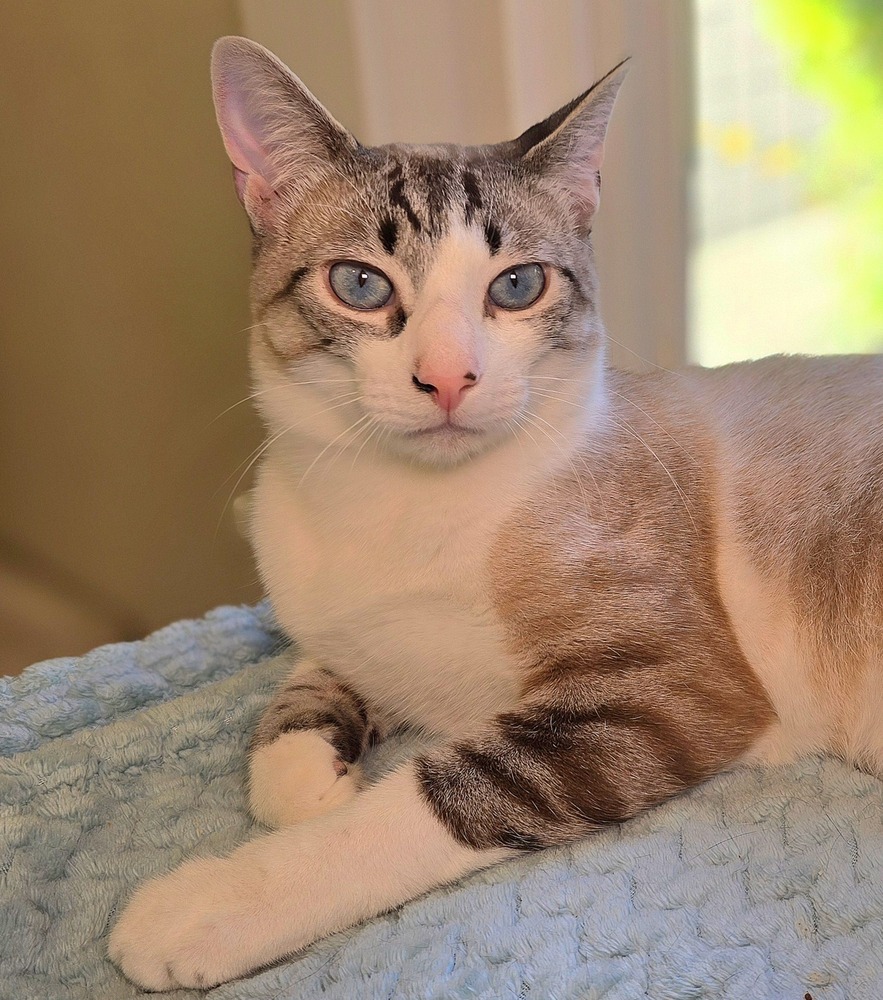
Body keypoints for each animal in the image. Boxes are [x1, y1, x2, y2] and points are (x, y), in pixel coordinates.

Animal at [109, 35, 883, 988]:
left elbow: (423, 799)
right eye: (359, 284)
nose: (447, 378)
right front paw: (302, 779)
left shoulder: (664, 690)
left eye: (515, 286)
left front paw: (196, 909)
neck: (402, 510)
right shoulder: (353, 629)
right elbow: (311, 675)